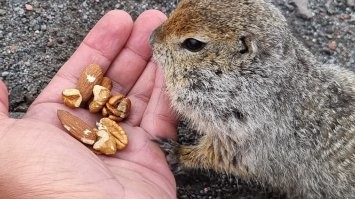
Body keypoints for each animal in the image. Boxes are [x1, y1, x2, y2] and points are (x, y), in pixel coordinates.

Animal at [149, 0, 355, 197]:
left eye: (193, 43)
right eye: (182, 3)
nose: (151, 38)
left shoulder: (247, 135)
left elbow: (221, 156)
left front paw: (177, 153)